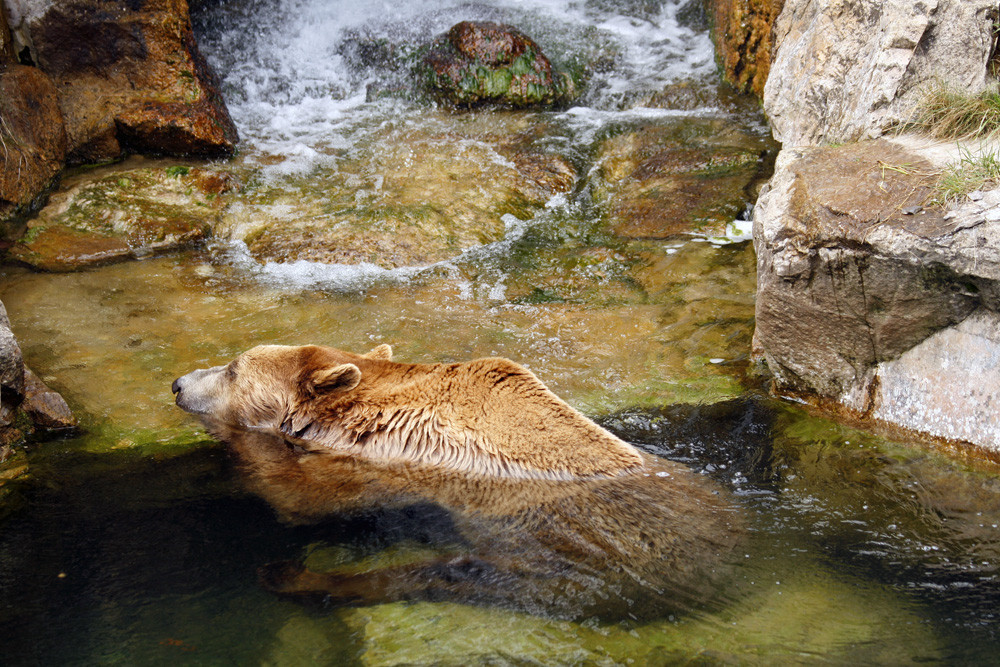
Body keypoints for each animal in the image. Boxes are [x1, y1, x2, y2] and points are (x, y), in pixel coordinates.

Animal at [174, 344, 744, 620]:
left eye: (231, 368)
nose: (179, 383)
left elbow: (296, 498)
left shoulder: (378, 460)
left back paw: (293, 577)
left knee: (450, 574)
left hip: (573, 563)